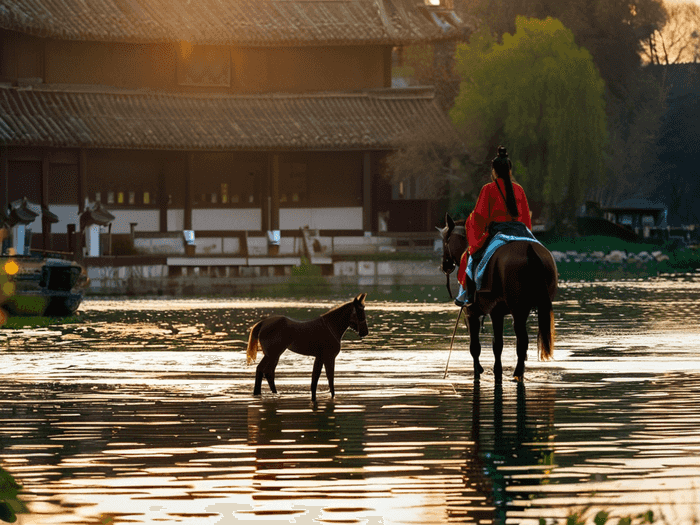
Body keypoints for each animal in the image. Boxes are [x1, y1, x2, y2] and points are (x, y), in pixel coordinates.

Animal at [438, 213, 556, 380]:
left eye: (445, 241)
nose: (444, 265)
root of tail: (530, 249)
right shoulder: (498, 312)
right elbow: (497, 344)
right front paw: (495, 370)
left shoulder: (474, 313)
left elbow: (477, 346)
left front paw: (481, 370)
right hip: (534, 306)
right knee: (522, 342)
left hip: (517, 310)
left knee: (521, 341)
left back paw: (517, 373)